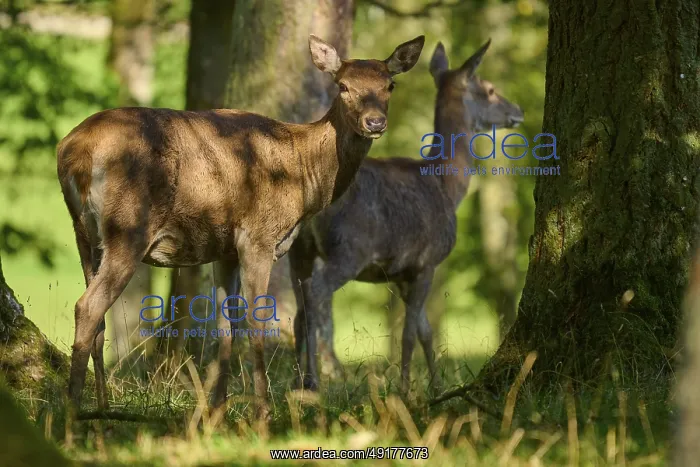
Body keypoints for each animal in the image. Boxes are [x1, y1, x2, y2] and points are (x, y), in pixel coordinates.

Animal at [56, 34, 425, 420]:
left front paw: (217, 411)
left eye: (389, 85)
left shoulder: (225, 249)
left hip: (84, 232)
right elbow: (256, 320)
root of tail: (73, 151)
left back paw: (101, 412)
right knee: (88, 306)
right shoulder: (258, 236)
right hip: (129, 226)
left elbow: (226, 326)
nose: (375, 122)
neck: (304, 178)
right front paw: (261, 411)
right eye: (343, 86)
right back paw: (72, 414)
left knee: (96, 315)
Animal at [290, 39, 524, 394]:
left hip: (298, 249)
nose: (518, 111)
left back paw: (295, 382)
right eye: (490, 89)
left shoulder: (401, 273)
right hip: (349, 250)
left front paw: (437, 387)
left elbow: (426, 331)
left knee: (298, 308)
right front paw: (405, 389)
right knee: (316, 295)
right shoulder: (427, 260)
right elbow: (410, 332)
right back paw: (314, 381)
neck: (446, 187)